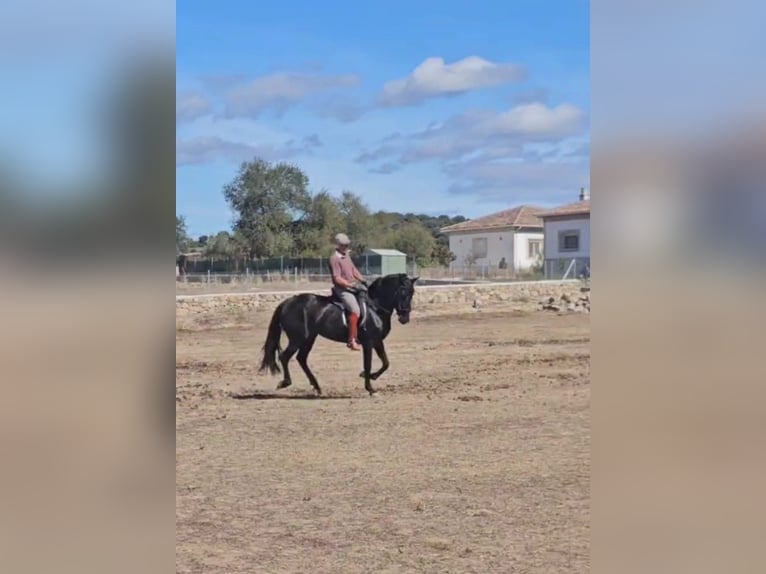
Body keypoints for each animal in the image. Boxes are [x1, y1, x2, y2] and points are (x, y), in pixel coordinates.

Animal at [262, 274, 420, 396]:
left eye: (412, 293)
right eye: (403, 292)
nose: (405, 318)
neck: (375, 308)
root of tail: (287, 302)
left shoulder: (377, 341)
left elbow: (386, 362)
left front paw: (370, 376)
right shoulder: (368, 342)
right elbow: (368, 364)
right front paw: (370, 388)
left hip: (309, 338)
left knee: (301, 359)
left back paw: (317, 387)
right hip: (297, 339)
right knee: (284, 357)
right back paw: (285, 383)